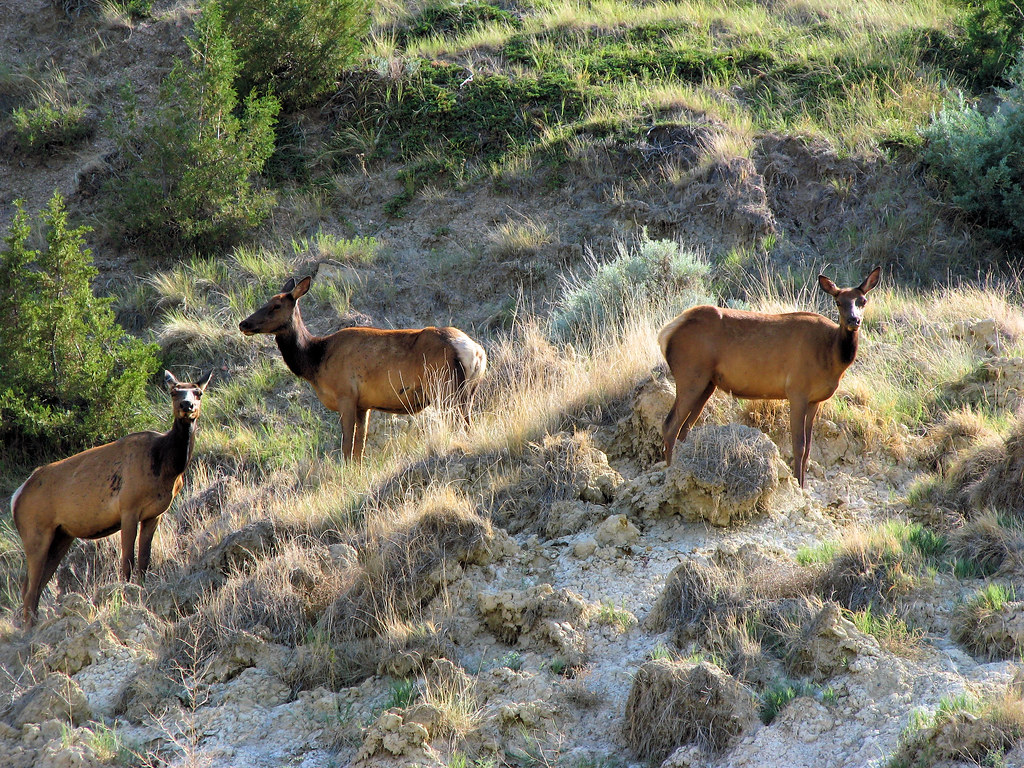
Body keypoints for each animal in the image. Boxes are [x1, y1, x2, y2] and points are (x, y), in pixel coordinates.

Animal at [10, 370, 212, 628]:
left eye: (198, 392)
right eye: (174, 392)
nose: (187, 406)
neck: (167, 468)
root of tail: (16, 497)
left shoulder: (155, 514)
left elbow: (144, 560)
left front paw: (140, 589)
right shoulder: (128, 507)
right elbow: (127, 561)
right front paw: (124, 595)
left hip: (61, 535)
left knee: (33, 586)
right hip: (35, 530)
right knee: (29, 588)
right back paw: (30, 629)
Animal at [239, 276, 487, 462]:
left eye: (276, 305)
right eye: (265, 302)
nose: (244, 323)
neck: (315, 360)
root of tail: (476, 352)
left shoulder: (346, 394)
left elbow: (347, 446)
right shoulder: (364, 404)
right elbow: (360, 446)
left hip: (444, 388)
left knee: (459, 424)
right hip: (467, 393)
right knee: (468, 423)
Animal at [659, 267, 881, 487]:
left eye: (863, 301)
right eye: (838, 302)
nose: (854, 320)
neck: (832, 357)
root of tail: (666, 333)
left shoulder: (815, 400)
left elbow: (809, 448)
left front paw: (803, 485)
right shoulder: (797, 391)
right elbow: (798, 446)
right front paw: (798, 485)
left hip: (707, 384)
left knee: (685, 429)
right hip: (690, 374)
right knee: (670, 426)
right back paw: (669, 474)